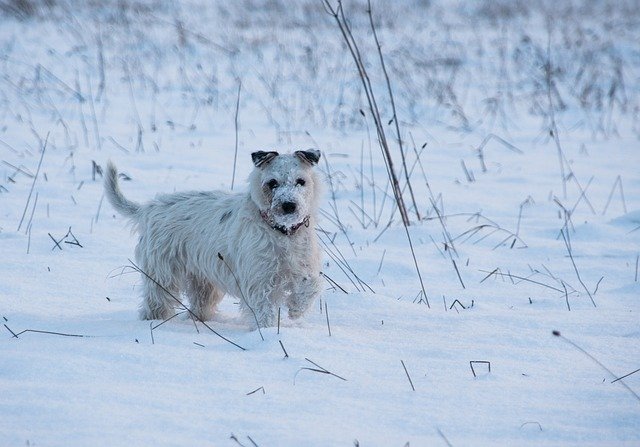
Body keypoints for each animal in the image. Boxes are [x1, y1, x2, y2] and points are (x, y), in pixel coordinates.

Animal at [106, 150, 324, 328]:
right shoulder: (260, 279)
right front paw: (267, 331)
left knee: (200, 305)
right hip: (163, 274)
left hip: (202, 281)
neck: (282, 232)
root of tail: (149, 208)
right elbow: (264, 309)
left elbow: (311, 286)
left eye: (301, 181)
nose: (289, 205)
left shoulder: (303, 267)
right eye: (272, 183)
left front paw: (295, 309)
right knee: (155, 303)